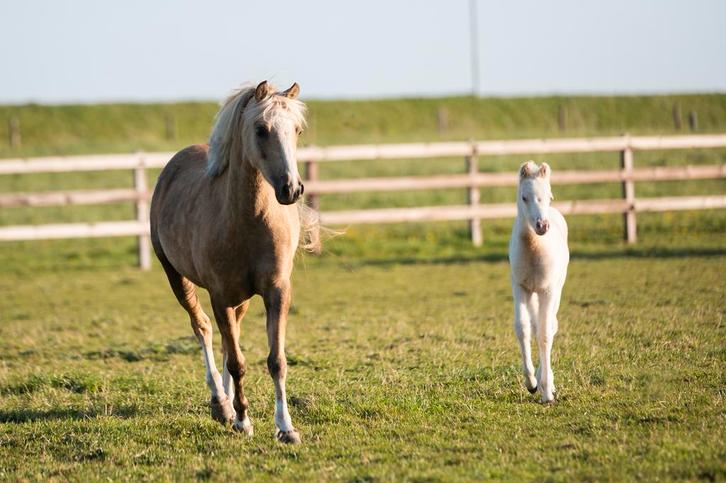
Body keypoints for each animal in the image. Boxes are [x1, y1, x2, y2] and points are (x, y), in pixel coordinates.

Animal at [150, 81, 317, 444]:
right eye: (261, 129)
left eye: (297, 130)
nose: (292, 189)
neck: (248, 220)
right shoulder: (220, 295)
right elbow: (237, 361)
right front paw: (242, 419)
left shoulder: (277, 292)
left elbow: (276, 360)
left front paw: (286, 427)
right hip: (178, 279)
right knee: (203, 328)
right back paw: (221, 403)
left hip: (240, 298)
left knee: (230, 337)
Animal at [508, 161, 569, 403]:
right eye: (524, 197)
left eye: (549, 196)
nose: (542, 225)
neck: (534, 247)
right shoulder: (520, 288)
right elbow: (523, 329)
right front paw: (532, 383)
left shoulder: (548, 290)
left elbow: (544, 335)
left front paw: (546, 392)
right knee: (535, 326)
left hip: (557, 290)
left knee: (550, 326)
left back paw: (549, 383)